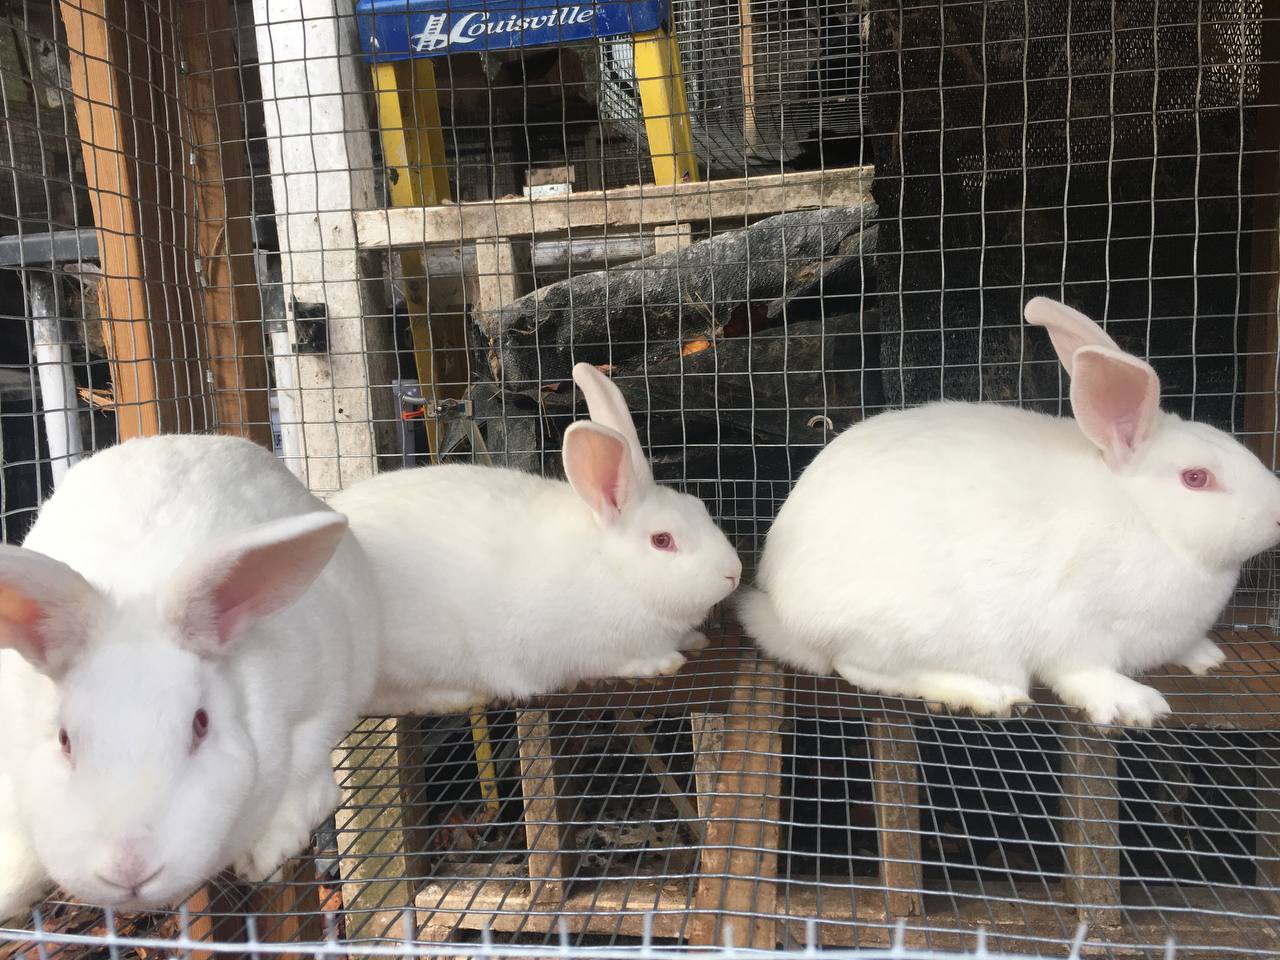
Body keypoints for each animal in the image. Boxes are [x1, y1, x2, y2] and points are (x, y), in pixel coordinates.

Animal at [0, 434, 378, 920]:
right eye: (64, 740)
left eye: (201, 724)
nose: (130, 869)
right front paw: (7, 889)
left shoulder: (319, 702)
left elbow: (308, 781)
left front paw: (264, 855)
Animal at [331, 362, 743, 715]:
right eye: (662, 540)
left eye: (699, 506)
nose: (734, 573)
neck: (612, 569)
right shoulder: (592, 649)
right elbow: (622, 662)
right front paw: (664, 662)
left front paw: (693, 641)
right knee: (388, 699)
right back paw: (456, 697)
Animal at [738, 297, 1280, 727]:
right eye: (1196, 478)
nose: (1276, 514)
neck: (1150, 521)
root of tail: (780, 605)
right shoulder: (1075, 628)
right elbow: (1085, 673)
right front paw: (1136, 705)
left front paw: (1207, 656)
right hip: (910, 629)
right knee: (859, 668)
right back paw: (983, 694)